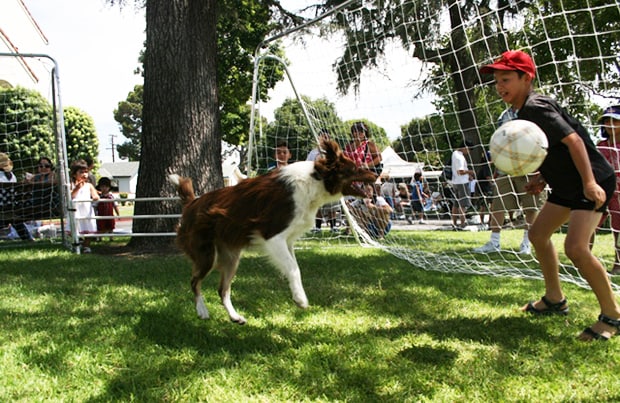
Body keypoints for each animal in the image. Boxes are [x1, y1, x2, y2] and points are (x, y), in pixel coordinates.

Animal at [167, 139, 376, 326]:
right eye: (355, 169)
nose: (377, 176)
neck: (315, 180)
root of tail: (192, 203)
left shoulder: (288, 240)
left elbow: (294, 266)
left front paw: (296, 292)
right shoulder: (273, 236)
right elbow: (293, 268)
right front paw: (300, 299)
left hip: (231, 258)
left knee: (222, 290)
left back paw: (235, 317)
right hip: (206, 254)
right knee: (194, 281)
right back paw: (202, 310)